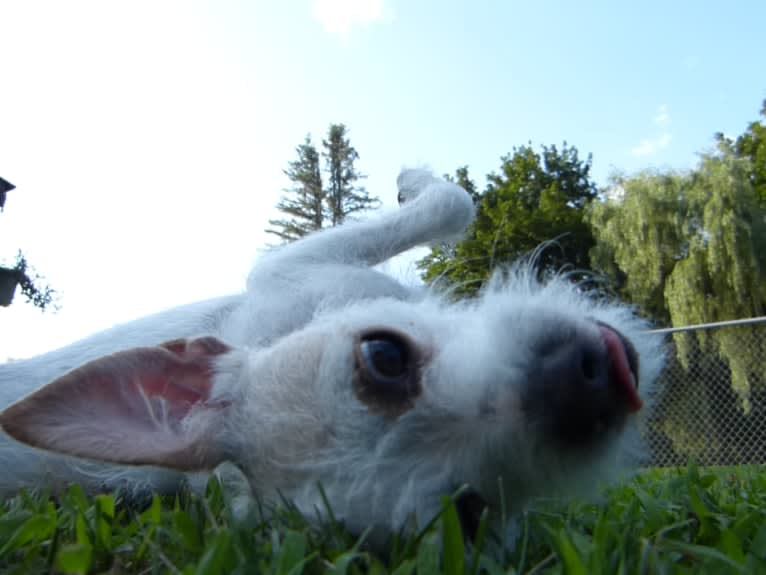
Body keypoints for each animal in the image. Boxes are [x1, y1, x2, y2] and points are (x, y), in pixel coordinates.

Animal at [0, 169, 664, 536]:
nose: (583, 383)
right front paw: (415, 182)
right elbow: (453, 201)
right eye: (469, 514)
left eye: (383, 357)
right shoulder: (294, 266)